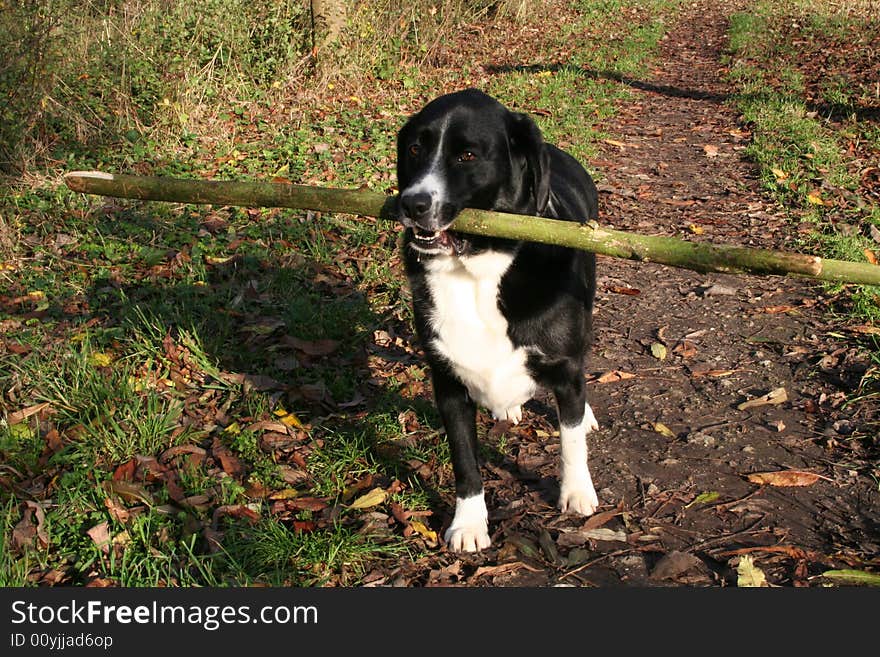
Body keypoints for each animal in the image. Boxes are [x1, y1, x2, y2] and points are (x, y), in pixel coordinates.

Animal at [398, 86, 600, 548]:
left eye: (467, 156)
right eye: (415, 148)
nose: (412, 203)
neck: (477, 267)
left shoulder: (565, 367)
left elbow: (570, 440)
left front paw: (577, 492)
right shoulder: (448, 382)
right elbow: (464, 461)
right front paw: (469, 523)